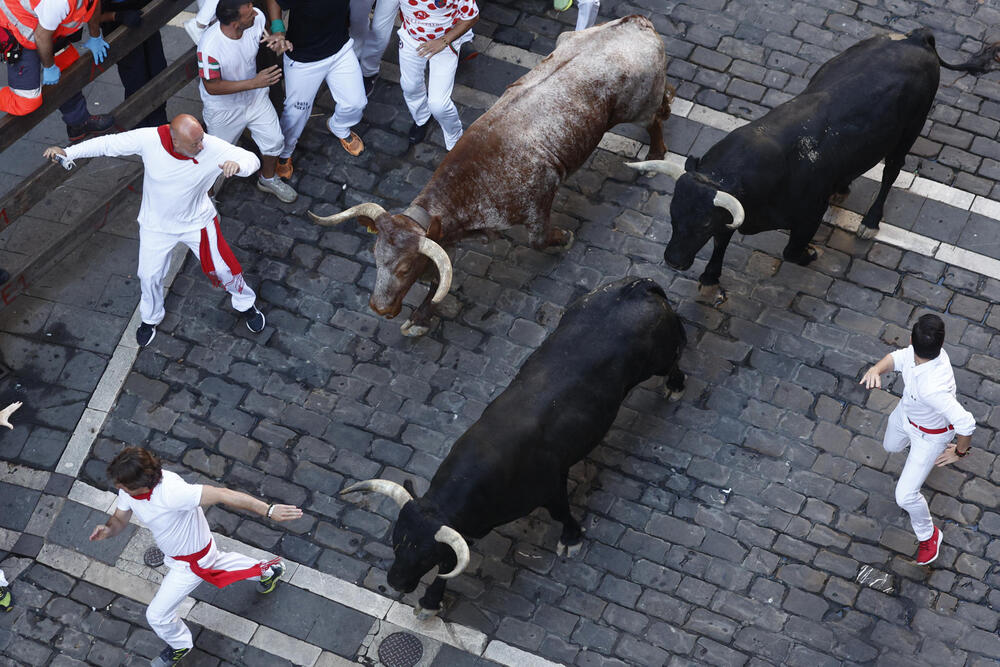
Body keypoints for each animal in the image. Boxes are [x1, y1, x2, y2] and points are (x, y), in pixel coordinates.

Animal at [312, 15, 672, 336]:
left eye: (403, 268)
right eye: (375, 257)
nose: (379, 308)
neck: (472, 183)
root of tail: (636, 22)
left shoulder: (539, 202)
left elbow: (540, 240)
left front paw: (564, 237)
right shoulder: (450, 235)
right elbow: (440, 279)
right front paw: (421, 318)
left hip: (638, 107)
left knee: (655, 120)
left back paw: (656, 154)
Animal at [340, 280, 684, 620]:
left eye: (425, 556)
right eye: (397, 541)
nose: (396, 582)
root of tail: (635, 287)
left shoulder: (551, 486)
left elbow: (561, 513)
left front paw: (571, 539)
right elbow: (452, 563)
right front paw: (431, 601)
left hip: (660, 359)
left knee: (676, 359)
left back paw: (676, 387)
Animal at [632, 28, 1000, 300]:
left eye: (704, 224)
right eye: (673, 213)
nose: (674, 260)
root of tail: (915, 38)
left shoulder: (809, 215)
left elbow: (792, 251)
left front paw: (811, 253)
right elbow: (723, 241)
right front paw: (710, 278)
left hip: (909, 130)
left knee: (891, 172)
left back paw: (870, 221)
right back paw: (843, 187)